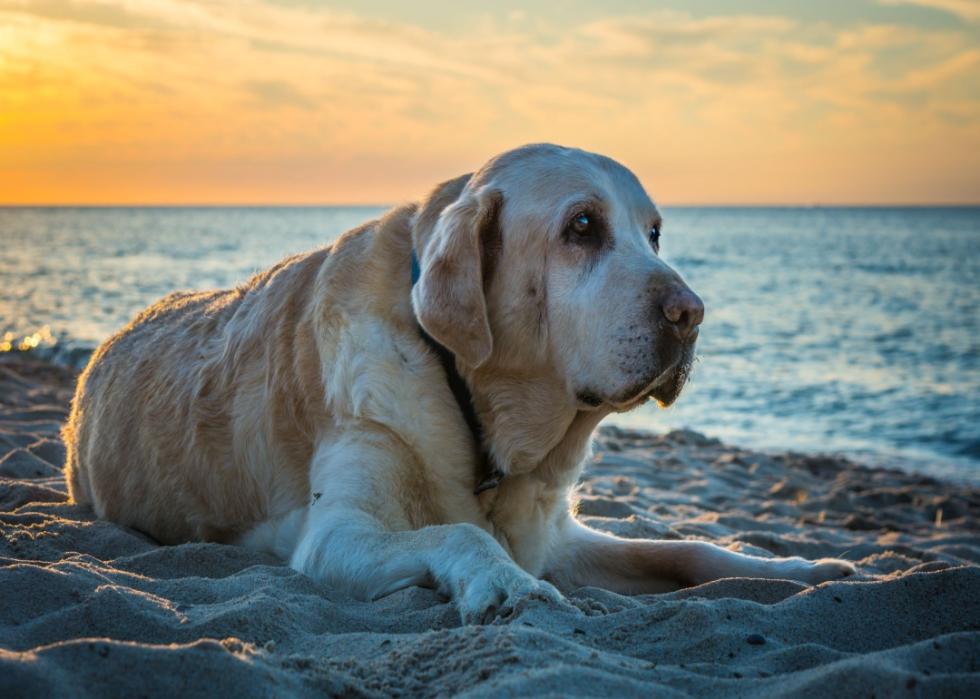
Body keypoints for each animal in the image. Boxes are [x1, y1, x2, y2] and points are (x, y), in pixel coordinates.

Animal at [65, 142, 852, 624]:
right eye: (583, 226)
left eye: (653, 233)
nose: (691, 314)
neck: (478, 410)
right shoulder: (336, 535)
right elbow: (462, 533)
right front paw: (504, 582)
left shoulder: (557, 536)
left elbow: (688, 549)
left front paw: (802, 569)